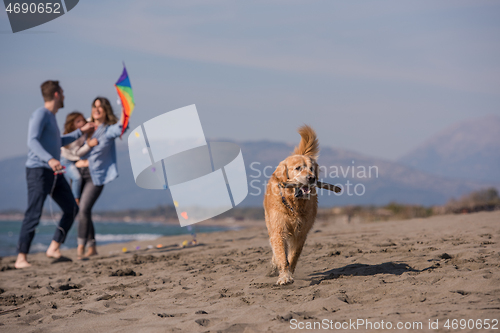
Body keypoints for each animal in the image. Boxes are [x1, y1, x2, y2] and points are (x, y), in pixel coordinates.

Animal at [262, 125, 320, 286]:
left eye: (311, 168)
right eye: (298, 168)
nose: (311, 178)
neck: (294, 205)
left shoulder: (301, 233)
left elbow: (293, 256)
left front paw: (289, 272)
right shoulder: (279, 228)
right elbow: (282, 255)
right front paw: (284, 276)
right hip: (270, 223)